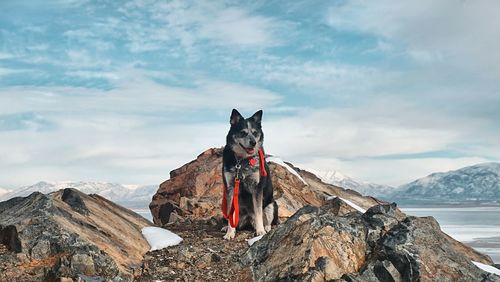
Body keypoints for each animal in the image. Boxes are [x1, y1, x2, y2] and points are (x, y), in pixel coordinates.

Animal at [222, 109, 278, 239]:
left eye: (255, 132)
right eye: (243, 133)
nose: (253, 142)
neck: (241, 161)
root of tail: (247, 220)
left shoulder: (256, 188)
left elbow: (258, 212)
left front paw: (260, 231)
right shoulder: (230, 188)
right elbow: (231, 215)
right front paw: (230, 232)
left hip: (272, 205)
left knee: (268, 220)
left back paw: (266, 228)